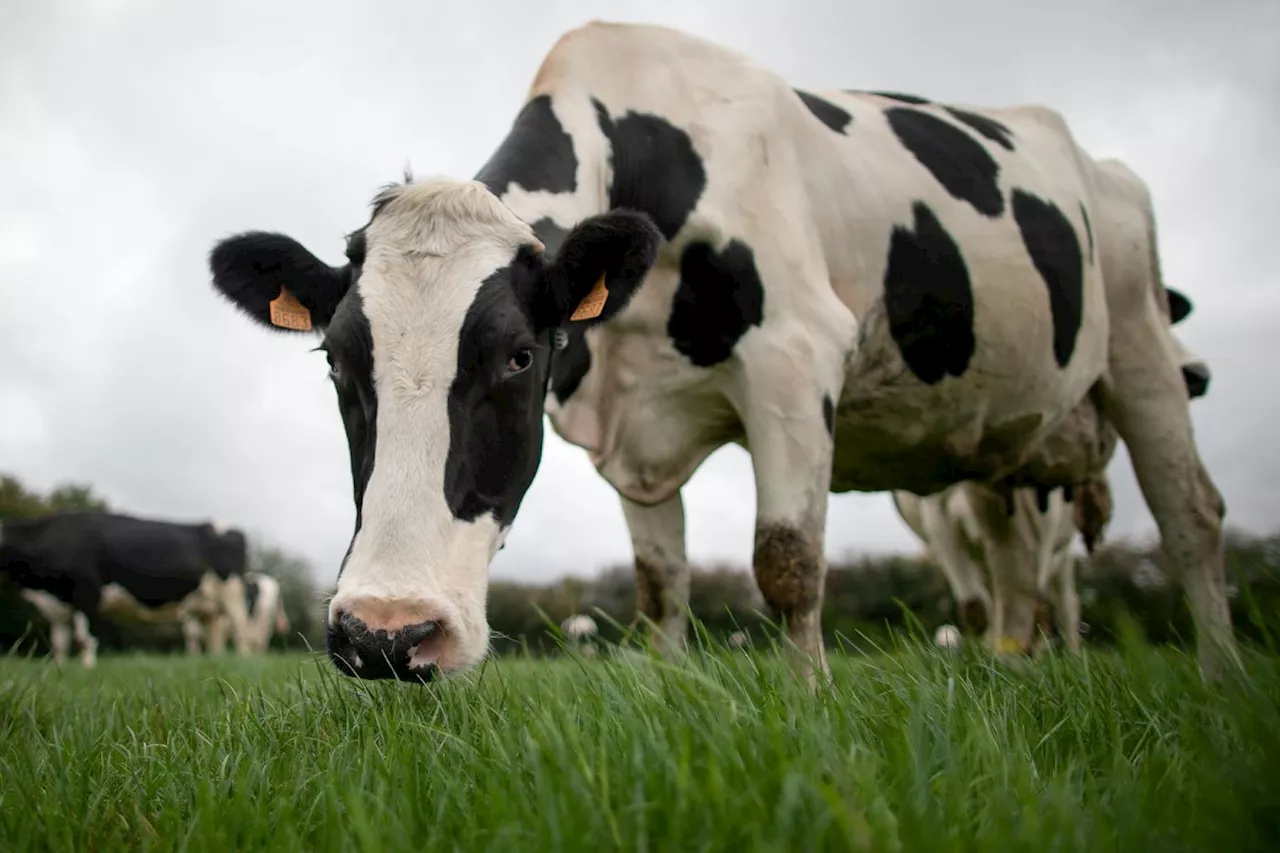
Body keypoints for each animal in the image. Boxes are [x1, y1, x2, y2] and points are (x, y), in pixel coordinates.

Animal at [0, 504, 252, 666]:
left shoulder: (87, 591)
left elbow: (84, 638)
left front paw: (87, 669)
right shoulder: (58, 605)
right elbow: (59, 642)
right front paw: (59, 669)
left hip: (231, 593)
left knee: (240, 627)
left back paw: (244, 660)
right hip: (208, 603)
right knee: (214, 635)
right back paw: (215, 660)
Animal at [207, 21, 1239, 686]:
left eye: (517, 358)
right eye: (338, 363)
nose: (386, 635)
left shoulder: (795, 359)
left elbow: (787, 561)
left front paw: (807, 706)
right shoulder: (630, 421)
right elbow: (661, 586)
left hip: (1140, 345)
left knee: (1190, 513)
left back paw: (1220, 680)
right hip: (1002, 459)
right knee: (1016, 571)